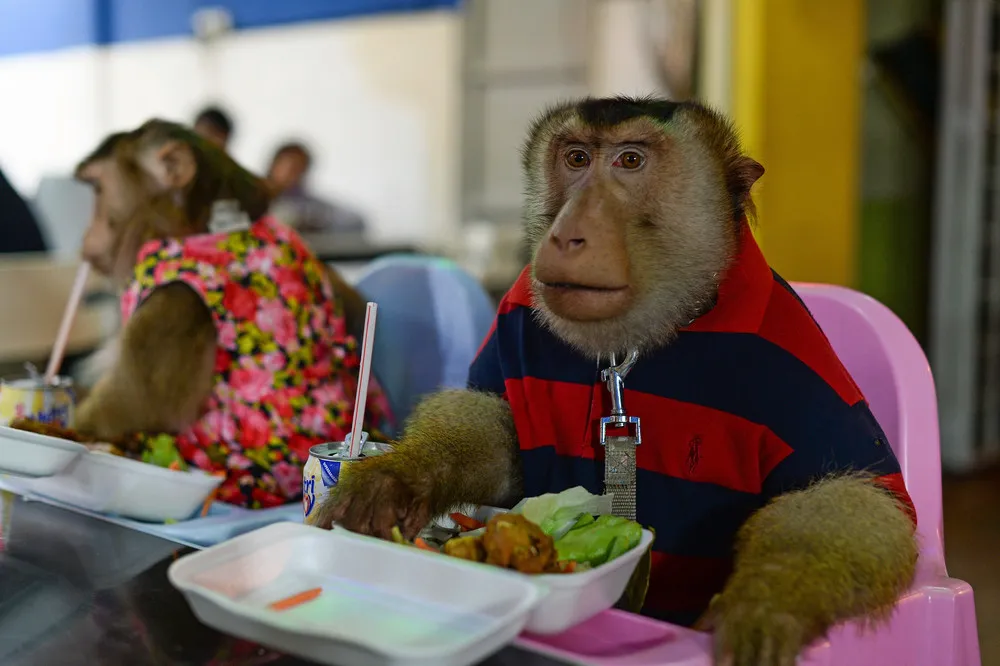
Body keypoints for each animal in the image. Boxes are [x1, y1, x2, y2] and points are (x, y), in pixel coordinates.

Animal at [314, 96, 918, 666]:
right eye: (576, 158)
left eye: (630, 161)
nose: (568, 235)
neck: (640, 343)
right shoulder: (517, 304)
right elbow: (500, 432)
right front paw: (393, 478)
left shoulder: (796, 362)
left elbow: (854, 496)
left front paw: (767, 600)